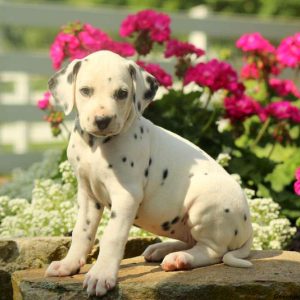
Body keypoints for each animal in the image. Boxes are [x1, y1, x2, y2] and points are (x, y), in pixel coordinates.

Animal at [45, 50, 253, 296]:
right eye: (85, 90)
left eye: (122, 93)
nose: (102, 120)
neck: (95, 146)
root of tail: (249, 227)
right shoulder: (88, 195)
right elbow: (82, 232)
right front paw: (69, 264)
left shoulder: (126, 196)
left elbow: (112, 237)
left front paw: (101, 275)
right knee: (194, 241)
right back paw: (163, 249)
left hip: (206, 206)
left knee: (214, 251)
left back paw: (180, 258)